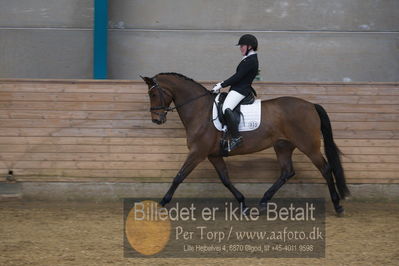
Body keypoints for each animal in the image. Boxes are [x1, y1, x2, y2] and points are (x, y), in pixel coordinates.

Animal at [141, 72, 350, 216]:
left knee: (326, 169)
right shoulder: (213, 155)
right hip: (282, 146)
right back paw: (263, 202)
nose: (156, 120)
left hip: (308, 146)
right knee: (287, 172)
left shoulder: (197, 153)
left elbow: (179, 176)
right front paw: (243, 204)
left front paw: (162, 203)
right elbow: (225, 179)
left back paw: (337, 205)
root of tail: (311, 105)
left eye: (153, 94)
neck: (200, 111)